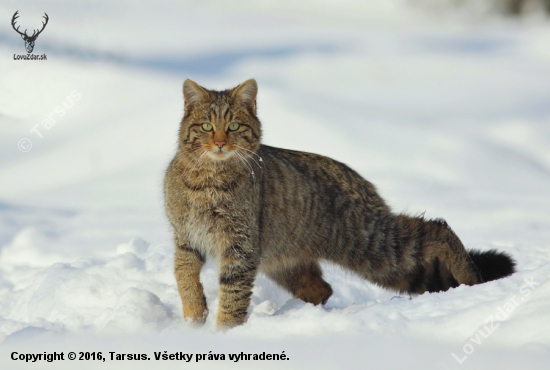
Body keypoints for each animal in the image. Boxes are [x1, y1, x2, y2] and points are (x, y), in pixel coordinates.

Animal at [164, 79, 516, 328]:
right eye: (207, 126)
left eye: (234, 126)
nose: (220, 142)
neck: (206, 181)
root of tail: (360, 179)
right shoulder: (186, 238)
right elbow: (184, 277)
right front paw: (194, 317)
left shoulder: (240, 246)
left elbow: (232, 297)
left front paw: (224, 333)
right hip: (285, 260)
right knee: (322, 289)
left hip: (372, 244)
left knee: (438, 227)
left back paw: (471, 279)